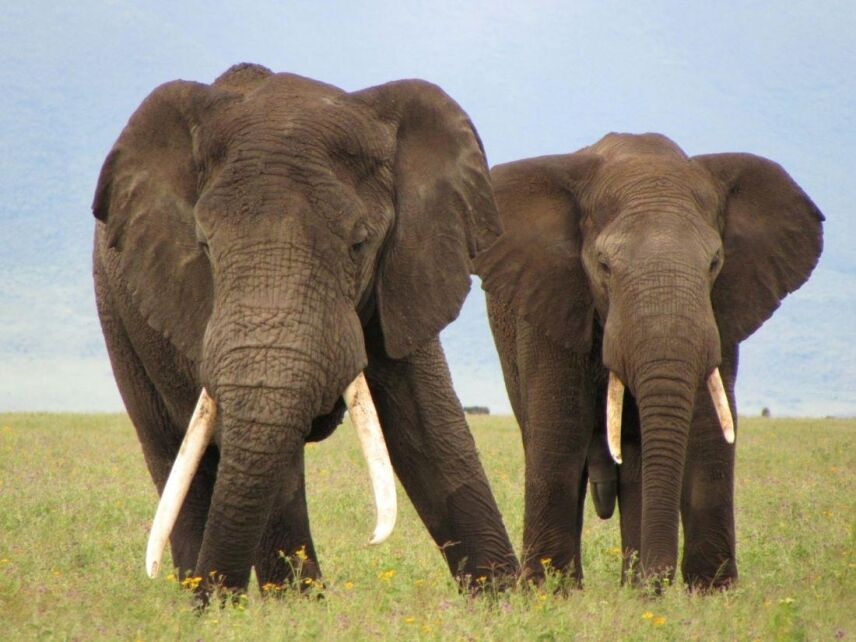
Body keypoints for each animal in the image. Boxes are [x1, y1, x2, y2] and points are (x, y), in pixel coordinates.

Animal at [92, 63, 518, 600]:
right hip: (119, 320)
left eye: (359, 245)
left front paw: (508, 602)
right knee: (175, 457)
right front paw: (296, 610)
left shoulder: (409, 268)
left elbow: (433, 430)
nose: (219, 599)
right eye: (204, 247)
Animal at [473, 132, 823, 589]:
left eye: (714, 262)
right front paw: (548, 592)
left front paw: (712, 592)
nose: (659, 579)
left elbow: (708, 432)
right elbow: (559, 432)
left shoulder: (721, 314)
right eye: (603, 265)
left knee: (638, 465)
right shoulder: (550, 301)